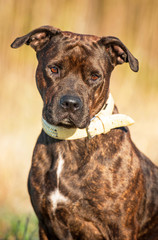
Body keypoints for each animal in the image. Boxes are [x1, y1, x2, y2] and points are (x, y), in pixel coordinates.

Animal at [11, 25, 158, 239]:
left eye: (95, 76)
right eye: (54, 69)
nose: (70, 103)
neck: (69, 141)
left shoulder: (120, 228)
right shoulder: (46, 224)